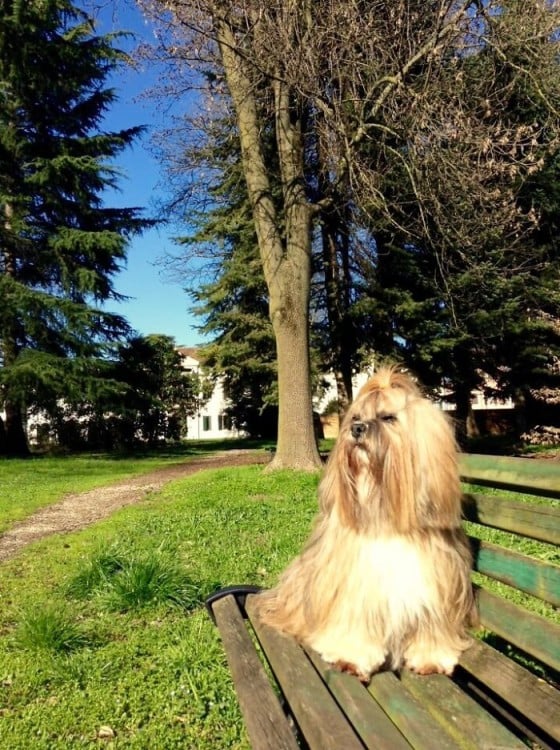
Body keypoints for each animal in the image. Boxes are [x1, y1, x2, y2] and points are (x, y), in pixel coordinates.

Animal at [255, 368, 476, 684]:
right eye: (356, 416)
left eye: (389, 418)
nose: (357, 429)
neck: (383, 510)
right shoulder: (353, 588)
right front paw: (350, 658)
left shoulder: (434, 585)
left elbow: (431, 626)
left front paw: (431, 657)